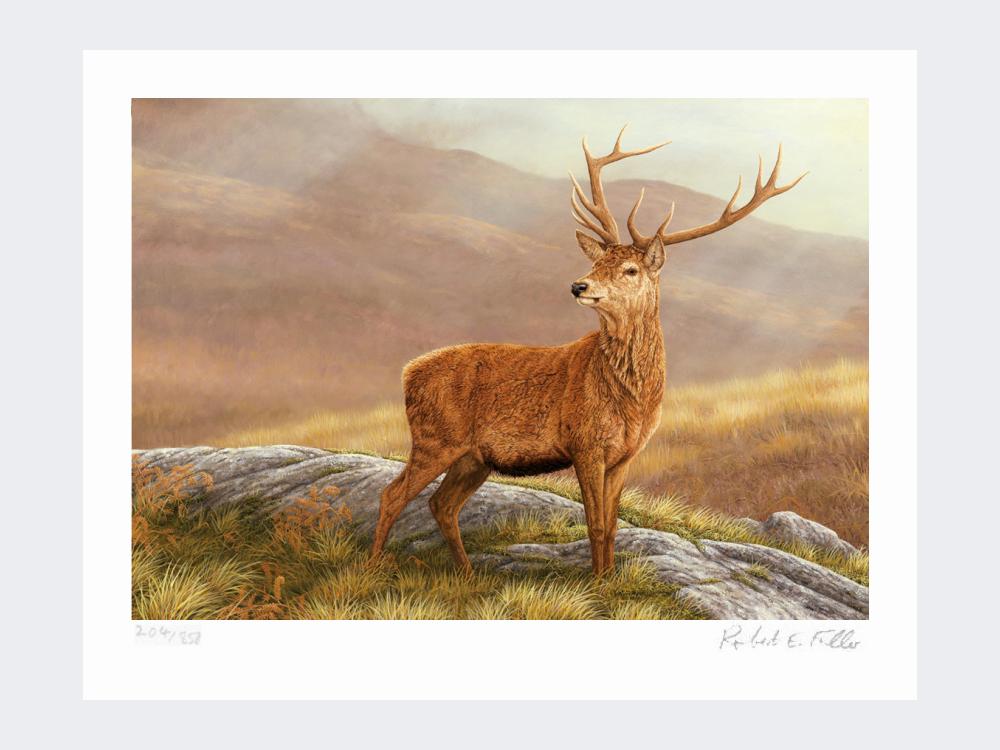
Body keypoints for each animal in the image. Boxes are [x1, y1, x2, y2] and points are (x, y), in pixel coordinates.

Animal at [370, 125, 805, 575]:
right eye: (598, 264)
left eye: (630, 269)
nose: (578, 285)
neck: (631, 400)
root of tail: (407, 372)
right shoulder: (585, 443)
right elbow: (594, 524)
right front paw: (597, 583)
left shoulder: (624, 455)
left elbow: (612, 525)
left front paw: (610, 579)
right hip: (435, 438)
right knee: (392, 494)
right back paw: (371, 568)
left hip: (473, 457)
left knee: (441, 504)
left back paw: (467, 574)